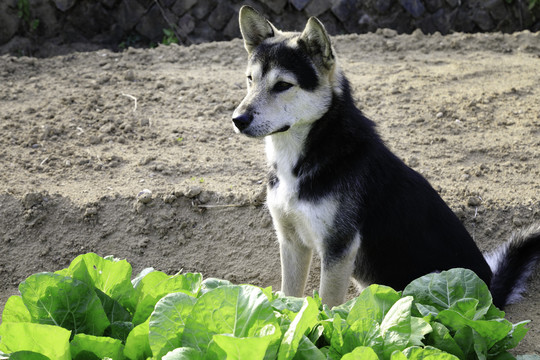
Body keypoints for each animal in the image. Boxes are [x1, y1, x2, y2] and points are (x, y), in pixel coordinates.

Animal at [232, 5, 540, 308]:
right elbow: (290, 298)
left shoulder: (338, 249)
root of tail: (492, 294)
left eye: (283, 85)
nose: (238, 119)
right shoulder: (291, 241)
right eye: (250, 80)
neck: (307, 152)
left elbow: (329, 308)